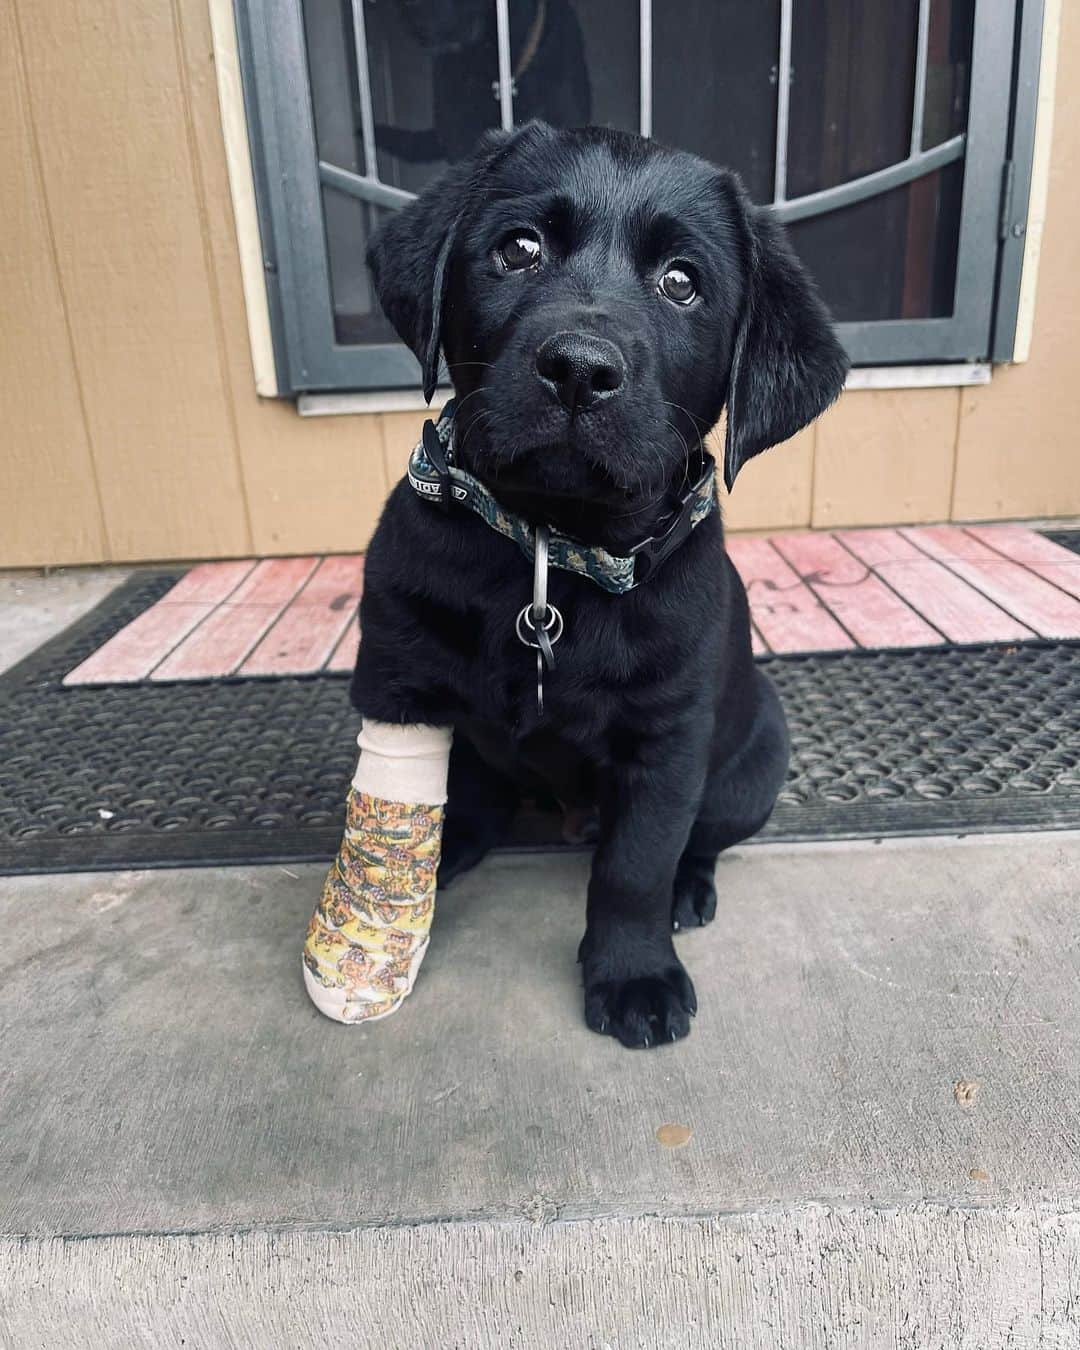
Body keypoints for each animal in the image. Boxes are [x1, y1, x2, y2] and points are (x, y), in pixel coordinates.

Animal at [351, 121, 842, 1047]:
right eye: (518, 249)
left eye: (682, 283)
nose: (578, 369)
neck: (555, 548)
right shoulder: (396, 671)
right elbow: (420, 793)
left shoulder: (667, 742)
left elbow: (635, 866)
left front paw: (635, 973)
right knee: (477, 791)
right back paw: (458, 843)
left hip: (754, 763)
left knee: (696, 842)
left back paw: (691, 889)